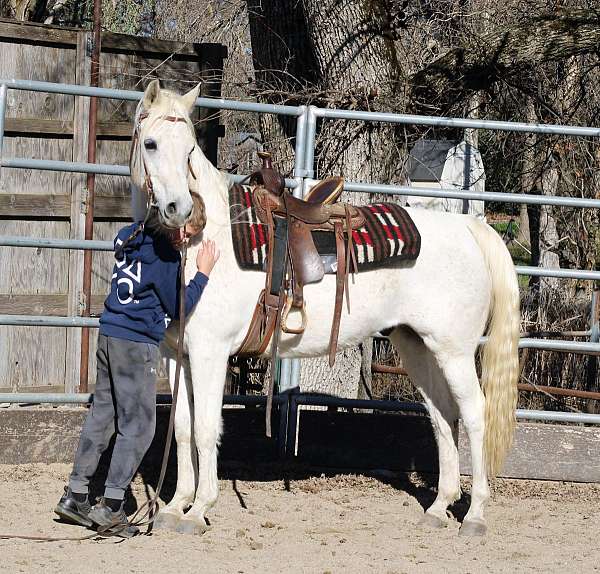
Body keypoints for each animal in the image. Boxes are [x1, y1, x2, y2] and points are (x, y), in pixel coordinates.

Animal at [130, 82, 520, 540]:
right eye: (151, 144)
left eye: (190, 149)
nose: (180, 210)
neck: (208, 241)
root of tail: (467, 228)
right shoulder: (178, 355)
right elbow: (183, 429)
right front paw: (176, 506)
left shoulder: (211, 353)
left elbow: (207, 429)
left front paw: (198, 510)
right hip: (418, 347)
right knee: (443, 414)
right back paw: (439, 507)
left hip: (454, 351)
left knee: (474, 414)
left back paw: (474, 515)